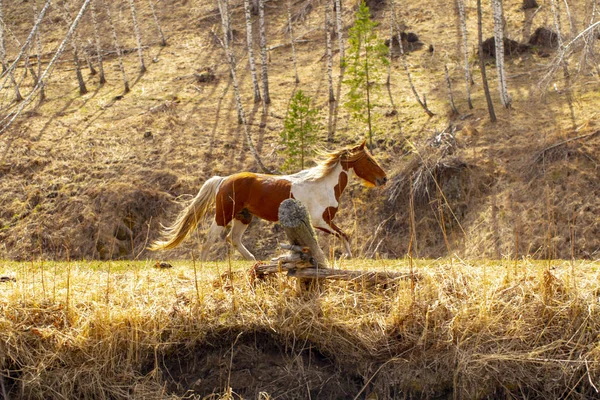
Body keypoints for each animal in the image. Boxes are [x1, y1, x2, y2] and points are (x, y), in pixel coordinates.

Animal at [148, 141, 386, 260]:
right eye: (368, 159)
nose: (383, 178)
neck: (323, 185)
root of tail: (223, 179)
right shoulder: (321, 221)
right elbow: (343, 235)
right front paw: (347, 256)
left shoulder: (320, 222)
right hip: (223, 215)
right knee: (210, 239)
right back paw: (205, 264)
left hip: (244, 217)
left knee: (233, 239)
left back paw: (254, 261)